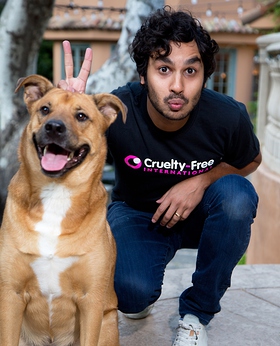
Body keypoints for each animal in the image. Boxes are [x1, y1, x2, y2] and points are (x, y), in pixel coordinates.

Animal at [0, 74, 127, 344]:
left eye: (81, 116)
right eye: (45, 109)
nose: (54, 127)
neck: (56, 194)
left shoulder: (91, 301)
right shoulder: (10, 296)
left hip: (109, 321)